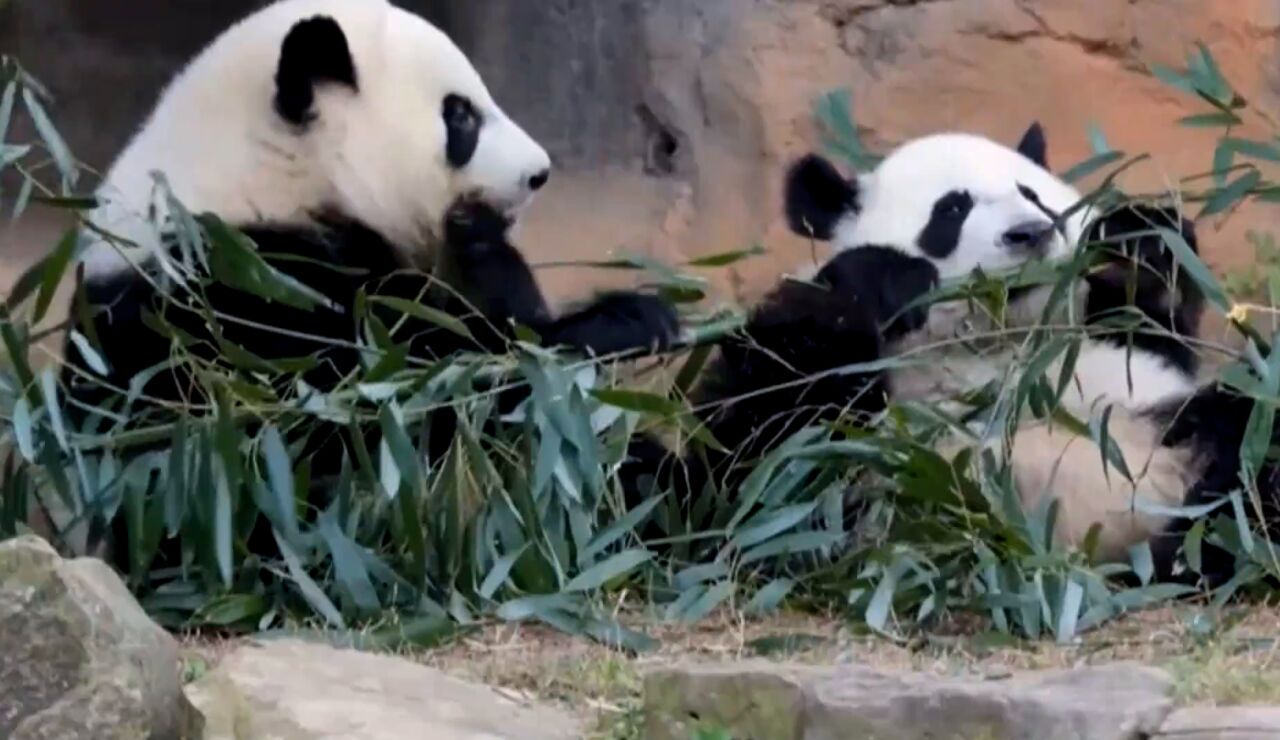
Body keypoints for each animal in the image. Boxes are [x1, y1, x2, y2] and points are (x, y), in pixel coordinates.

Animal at [57, 0, 680, 566]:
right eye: (460, 116)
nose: (540, 173)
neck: (268, 174)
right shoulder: (234, 298)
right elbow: (403, 404)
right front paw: (617, 321)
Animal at [626, 122, 1279, 587]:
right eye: (951, 210)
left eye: (1033, 194)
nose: (1028, 235)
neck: (992, 345)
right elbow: (762, 459)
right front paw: (879, 281)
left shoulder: (1120, 363)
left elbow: (1151, 321)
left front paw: (1137, 241)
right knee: (654, 490)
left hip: (1166, 436)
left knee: (1250, 435)